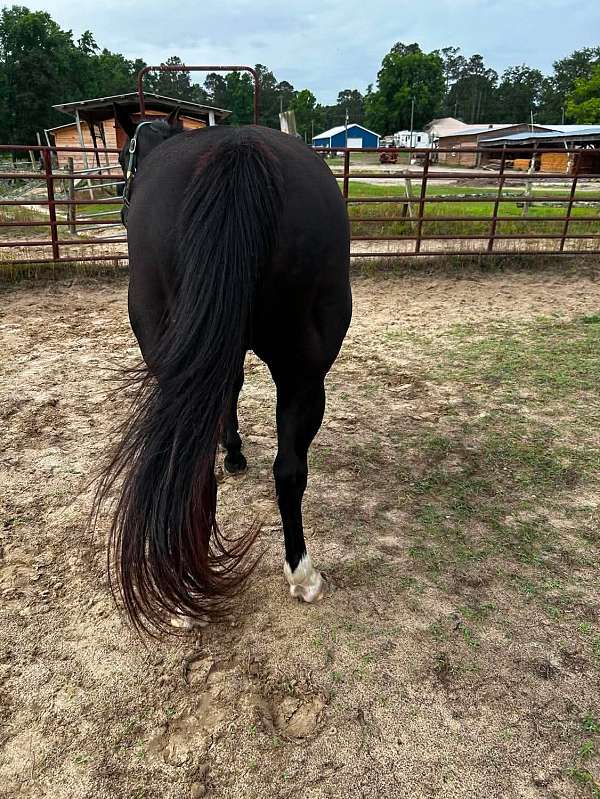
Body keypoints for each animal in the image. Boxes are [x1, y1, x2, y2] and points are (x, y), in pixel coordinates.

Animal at [97, 105, 352, 634]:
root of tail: (239, 153)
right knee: (289, 469)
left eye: (126, 151)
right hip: (304, 371)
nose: (122, 200)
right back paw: (300, 573)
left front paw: (230, 450)